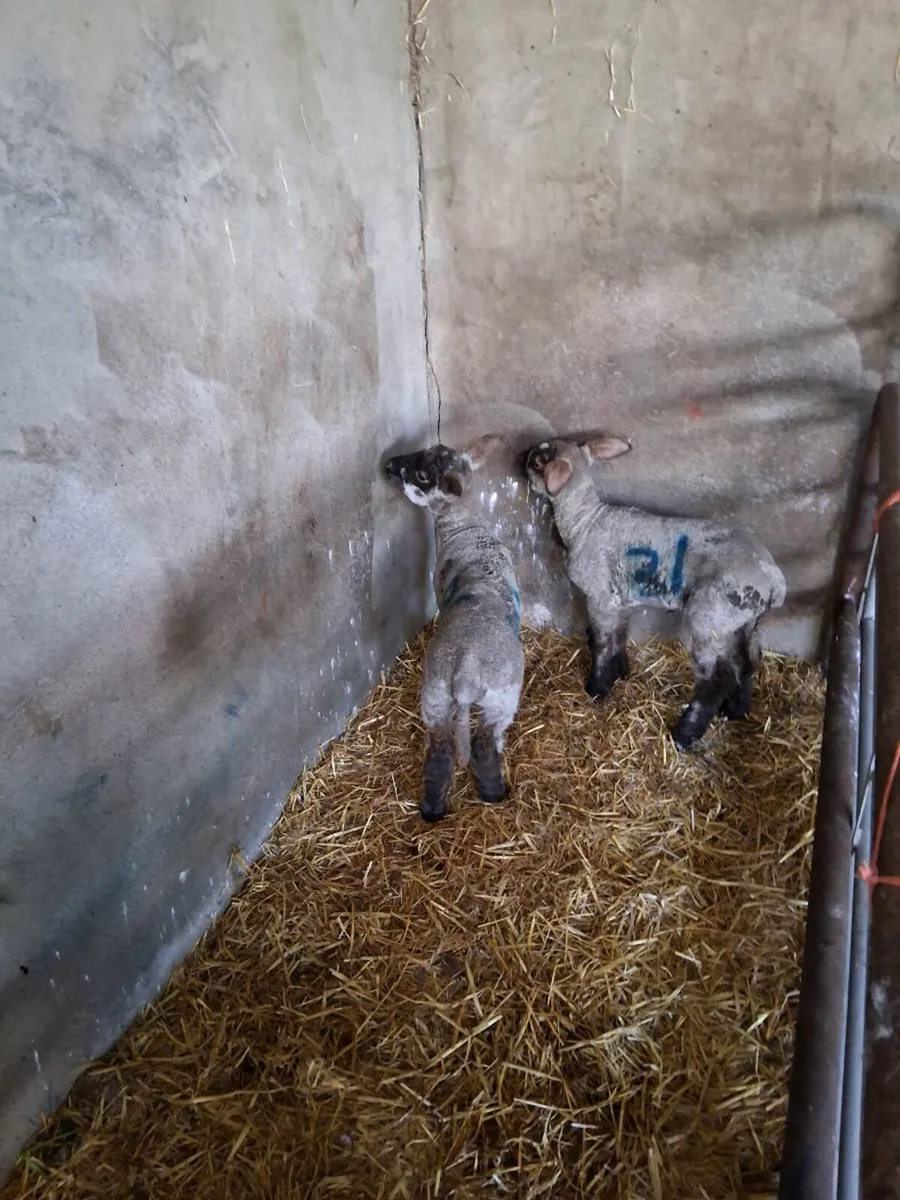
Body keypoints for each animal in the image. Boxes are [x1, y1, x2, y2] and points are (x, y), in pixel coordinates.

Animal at [383, 435, 525, 820]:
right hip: (497, 698)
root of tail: (466, 668)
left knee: (443, 751)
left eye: (421, 474)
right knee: (478, 745)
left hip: (437, 696)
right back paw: (492, 794)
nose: (388, 465)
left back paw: (433, 809)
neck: (464, 528)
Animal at [521, 436, 787, 750]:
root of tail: (773, 581)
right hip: (742, 622)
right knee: (746, 665)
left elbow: (601, 643)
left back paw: (685, 734)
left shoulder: (599, 596)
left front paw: (597, 687)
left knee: (715, 680)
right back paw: (734, 711)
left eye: (539, 461)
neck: (584, 522)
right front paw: (620, 673)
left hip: (710, 617)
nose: (521, 458)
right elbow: (618, 636)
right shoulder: (619, 597)